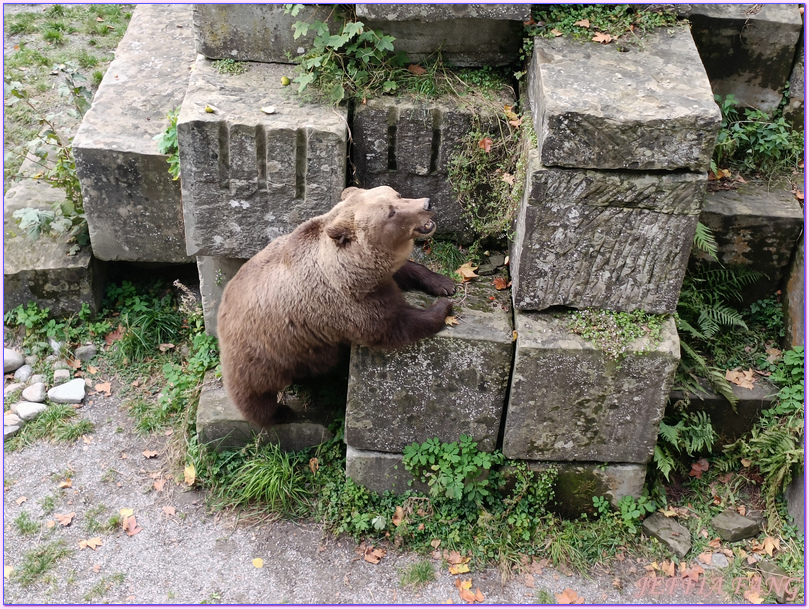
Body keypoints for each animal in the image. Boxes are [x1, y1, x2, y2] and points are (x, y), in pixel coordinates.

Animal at [215, 185, 454, 428]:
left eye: (396, 195)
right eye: (391, 212)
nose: (427, 203)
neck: (356, 273)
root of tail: (223, 304)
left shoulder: (377, 276)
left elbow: (406, 270)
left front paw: (443, 283)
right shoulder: (348, 305)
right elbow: (393, 326)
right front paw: (442, 308)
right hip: (260, 354)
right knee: (254, 393)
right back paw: (280, 413)